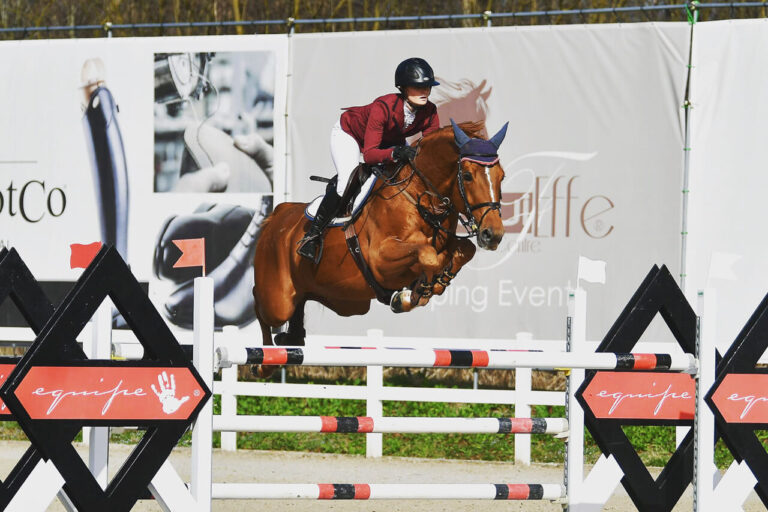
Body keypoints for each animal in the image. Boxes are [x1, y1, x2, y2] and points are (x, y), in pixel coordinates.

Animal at [252, 120, 510, 376]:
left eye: (502, 176)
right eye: (467, 176)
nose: (493, 234)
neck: (420, 198)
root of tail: (278, 215)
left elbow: (465, 249)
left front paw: (433, 284)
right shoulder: (379, 260)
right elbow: (427, 255)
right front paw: (413, 293)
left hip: (336, 298)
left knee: (295, 316)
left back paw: (287, 341)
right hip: (278, 301)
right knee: (259, 302)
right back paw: (262, 363)